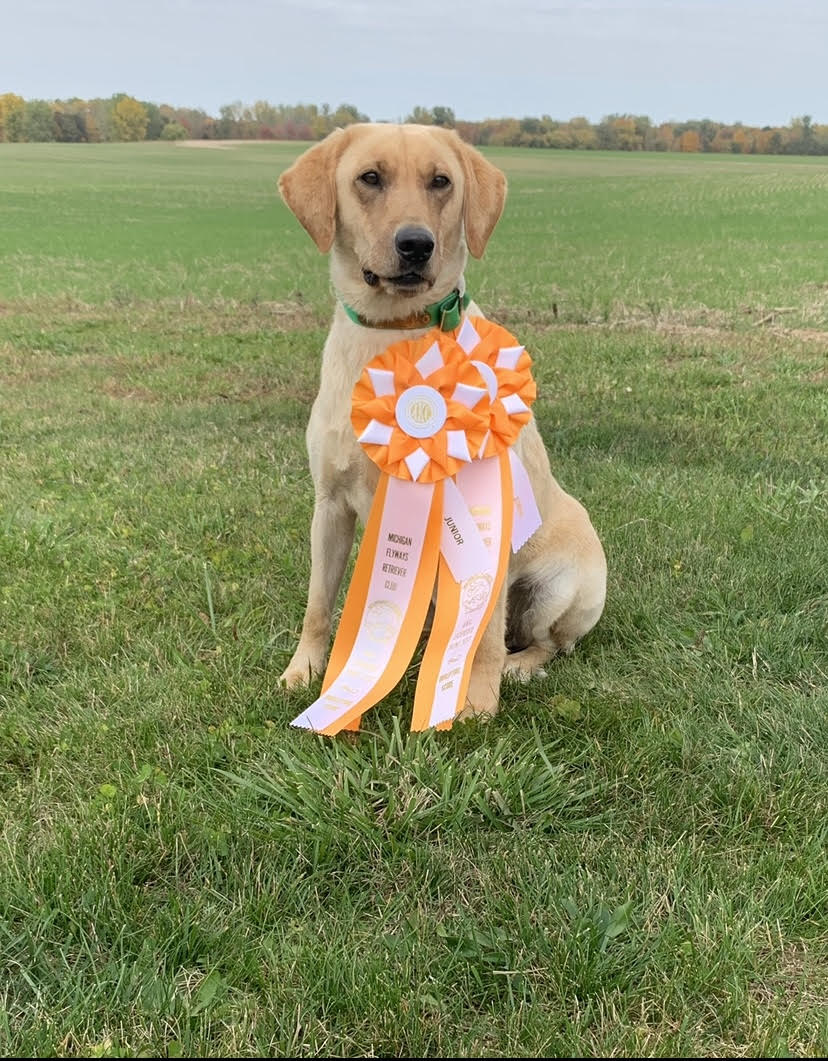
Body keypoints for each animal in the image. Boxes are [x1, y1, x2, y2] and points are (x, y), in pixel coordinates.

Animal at [273, 124, 602, 721]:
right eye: (369, 178)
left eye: (441, 181)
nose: (416, 244)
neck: (394, 335)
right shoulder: (329, 507)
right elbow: (318, 603)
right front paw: (305, 671)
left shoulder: (485, 522)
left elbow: (485, 636)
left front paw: (474, 703)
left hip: (555, 591)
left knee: (543, 642)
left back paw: (520, 666)